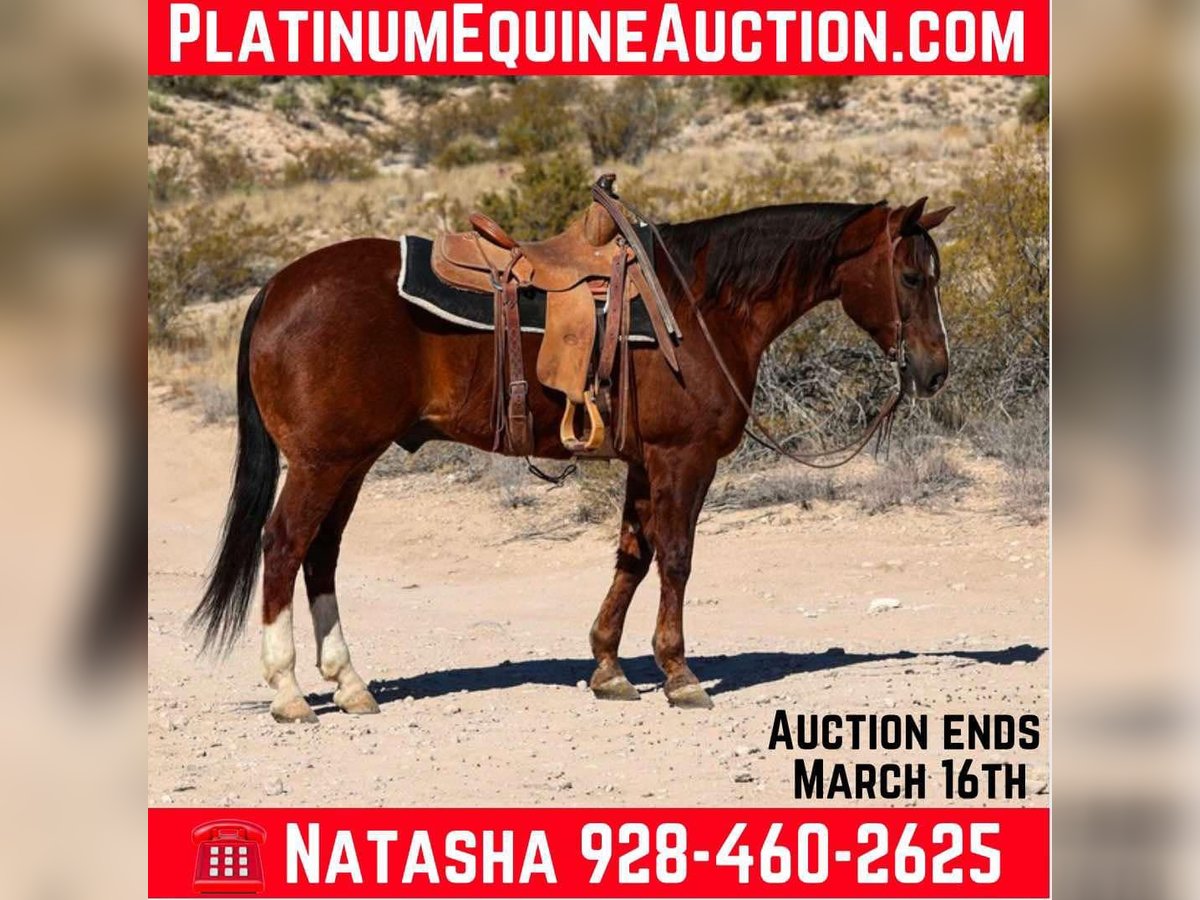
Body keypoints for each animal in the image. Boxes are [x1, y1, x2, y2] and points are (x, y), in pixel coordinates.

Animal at [191, 196, 953, 722]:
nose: (935, 370)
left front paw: (610, 668)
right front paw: (679, 674)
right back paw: (289, 690)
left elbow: (632, 556)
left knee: (319, 555)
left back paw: (350, 686)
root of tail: (277, 288)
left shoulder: (645, 462)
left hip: (350, 461)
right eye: (912, 277)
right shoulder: (684, 459)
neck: (702, 306)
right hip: (323, 462)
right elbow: (676, 559)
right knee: (285, 546)